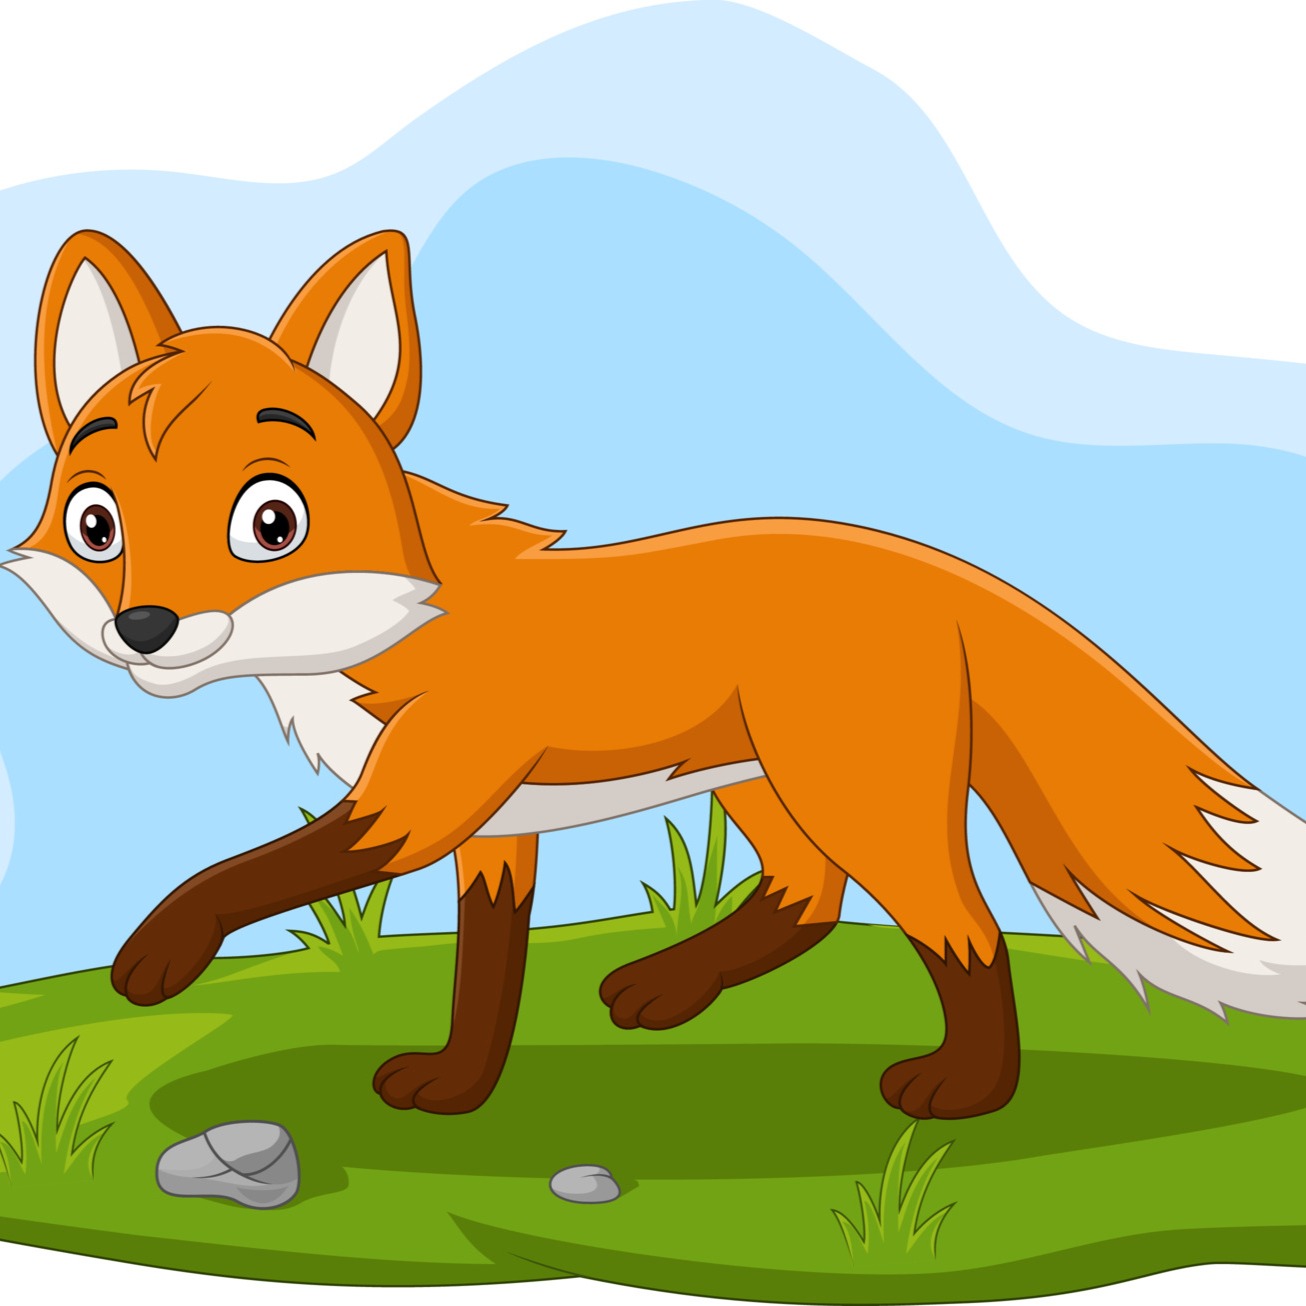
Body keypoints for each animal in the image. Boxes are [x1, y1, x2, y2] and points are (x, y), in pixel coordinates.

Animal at [8, 229, 1306, 1122]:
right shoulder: (494, 830)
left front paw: (157, 955)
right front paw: (457, 1088)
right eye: (96, 522)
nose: (145, 626)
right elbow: (487, 971)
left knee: (965, 931)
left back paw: (963, 1093)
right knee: (808, 898)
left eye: (270, 522)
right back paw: (666, 988)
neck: (397, 627)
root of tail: (932, 564)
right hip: (757, 784)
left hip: (852, 792)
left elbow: (242, 872)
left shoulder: (417, 801)